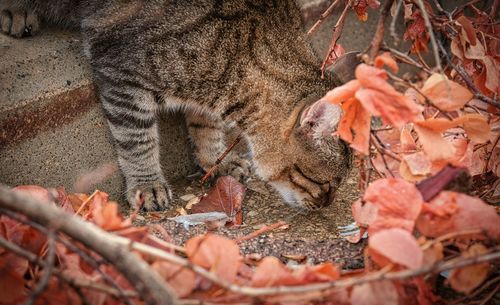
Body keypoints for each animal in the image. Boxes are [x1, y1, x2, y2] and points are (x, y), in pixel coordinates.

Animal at [2, 0, 356, 211]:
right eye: (327, 183)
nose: (327, 205)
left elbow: (206, 128)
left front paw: (216, 161)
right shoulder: (122, 72)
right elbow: (137, 140)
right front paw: (147, 183)